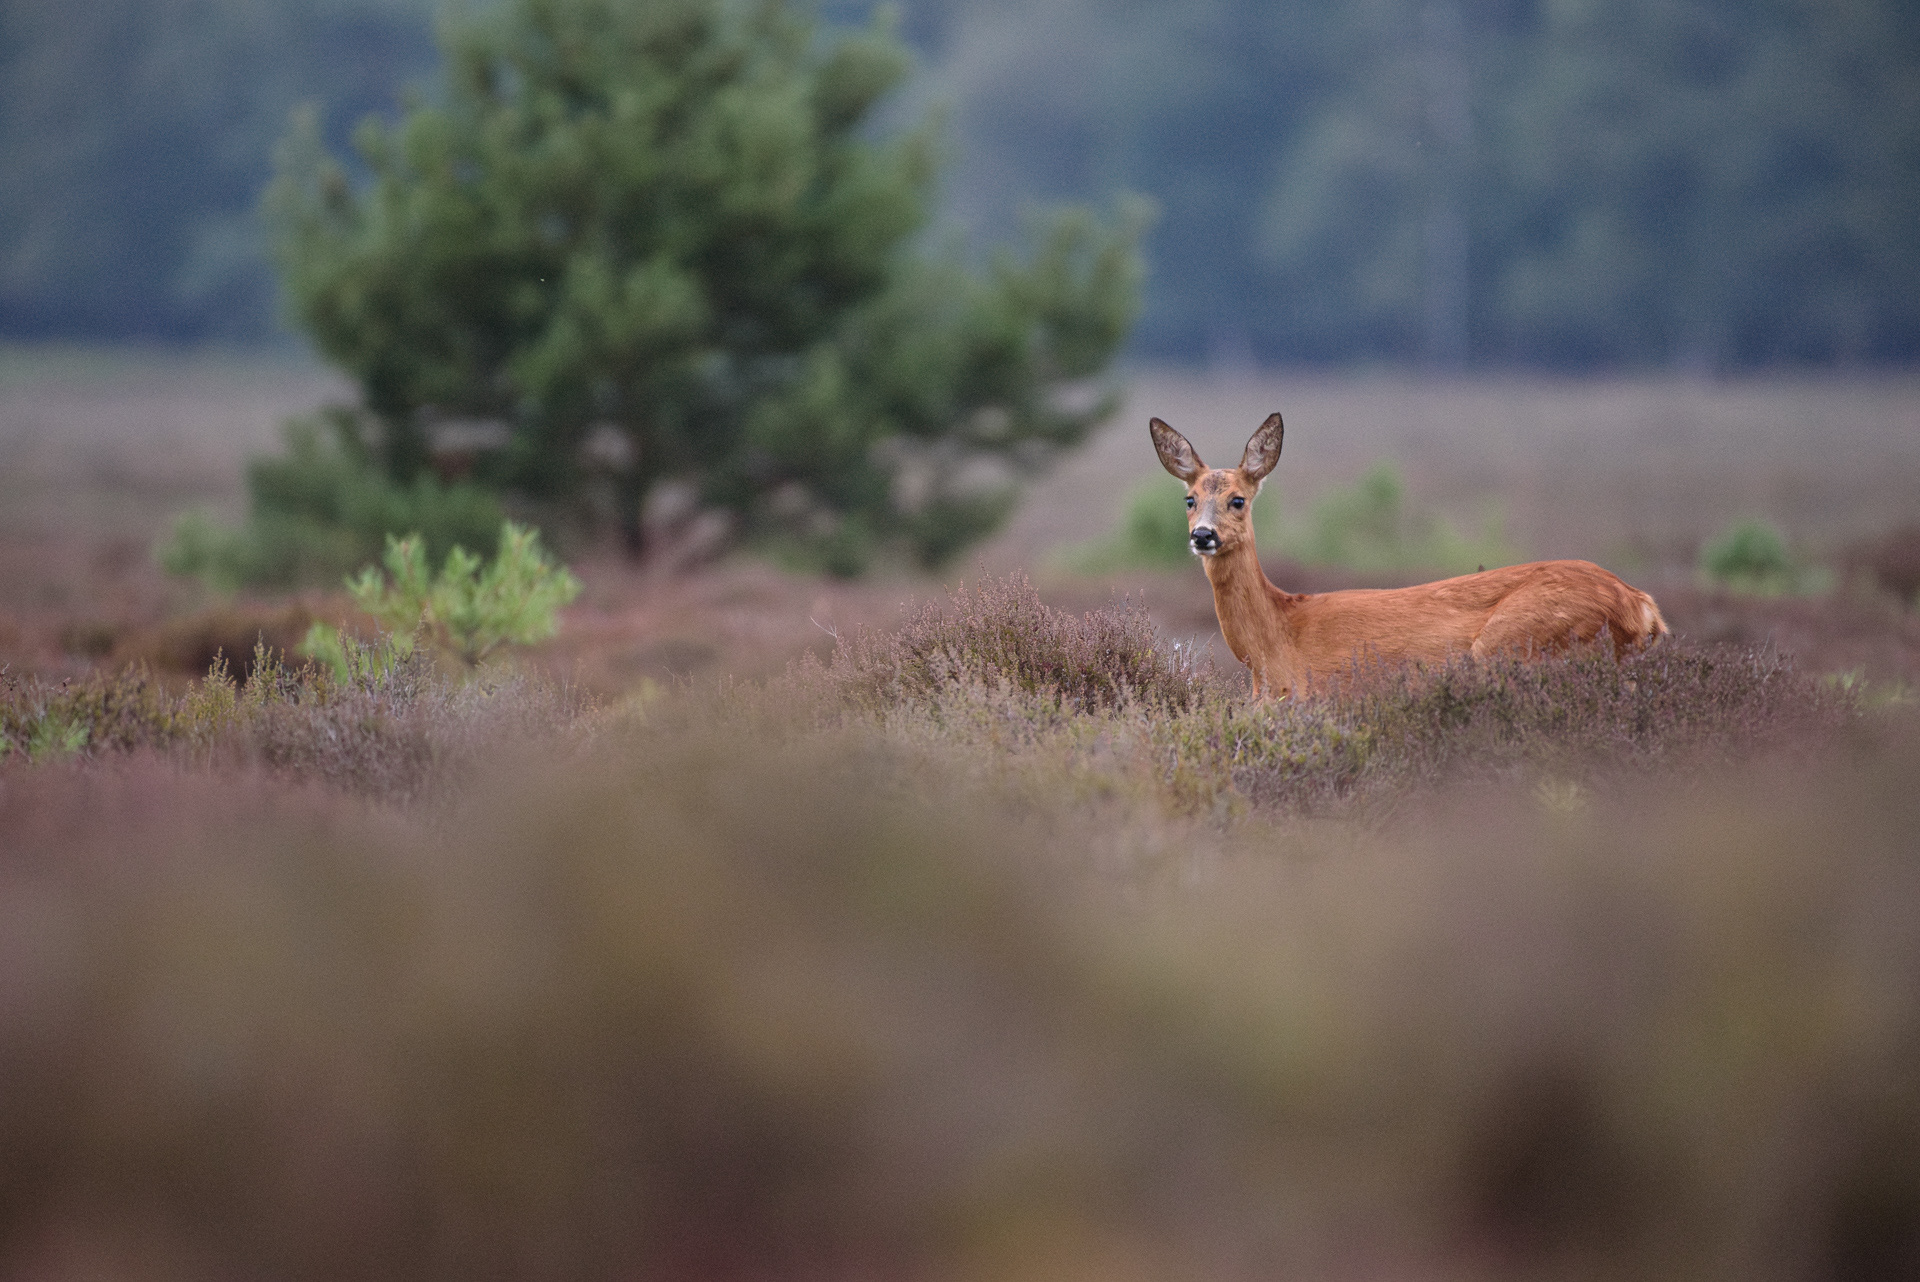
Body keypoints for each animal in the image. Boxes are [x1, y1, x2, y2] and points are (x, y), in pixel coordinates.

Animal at [1150, 413, 1668, 699]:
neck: (1272, 649)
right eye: (1190, 499)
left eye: (1238, 499)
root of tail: (1641, 605)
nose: (1202, 536)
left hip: (1518, 643)